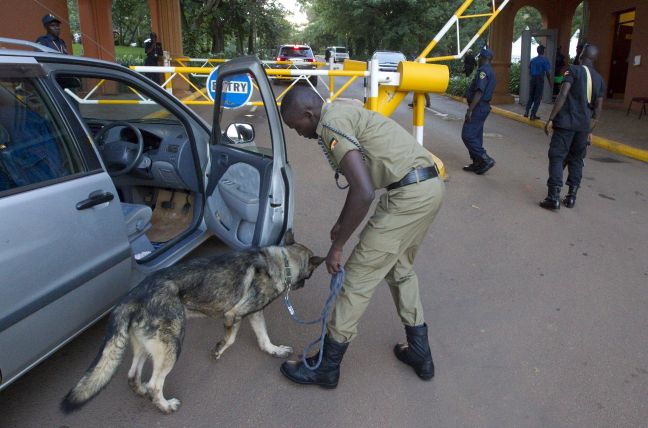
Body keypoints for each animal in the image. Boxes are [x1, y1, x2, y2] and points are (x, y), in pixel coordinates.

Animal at [61, 234, 324, 414]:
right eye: (310, 274)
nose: (303, 285)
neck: (282, 261)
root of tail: (134, 295)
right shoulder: (233, 314)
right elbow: (231, 339)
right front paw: (218, 350)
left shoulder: (254, 314)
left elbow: (264, 338)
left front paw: (274, 350)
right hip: (172, 345)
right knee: (155, 384)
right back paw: (165, 406)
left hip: (147, 347)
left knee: (133, 376)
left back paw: (142, 391)